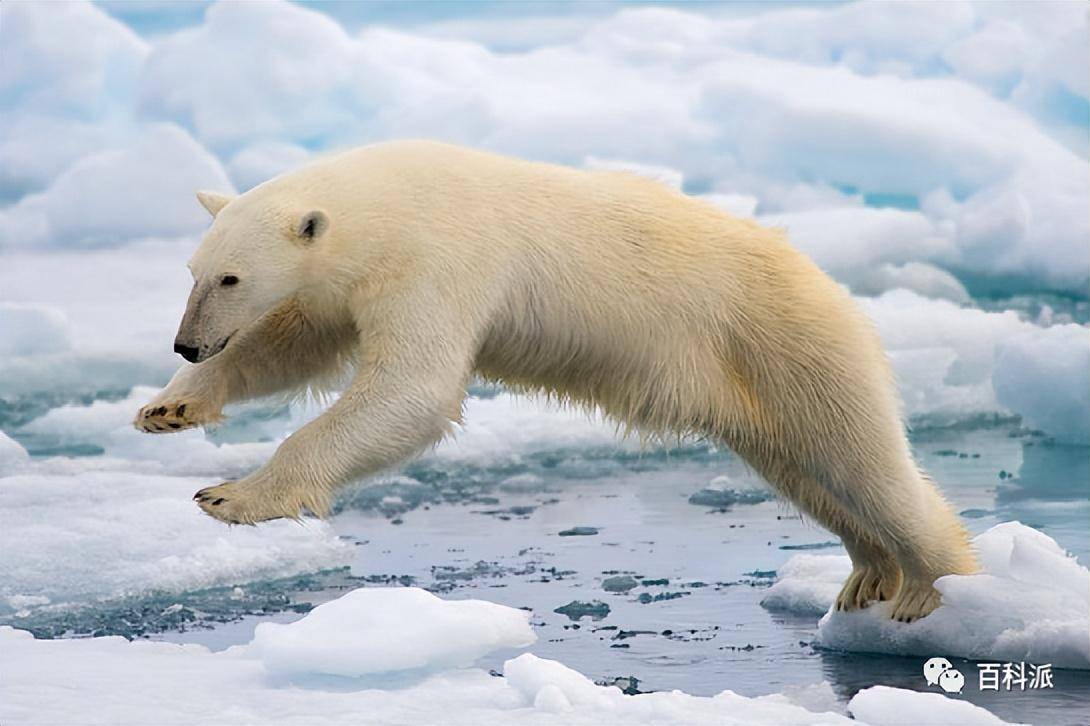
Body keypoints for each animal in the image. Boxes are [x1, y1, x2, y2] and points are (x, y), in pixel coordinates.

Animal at [136, 138, 981, 619]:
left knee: (864, 463)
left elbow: (412, 389)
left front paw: (232, 496)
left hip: (790, 344)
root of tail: (832, 287)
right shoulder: (350, 283)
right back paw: (867, 575)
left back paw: (929, 589)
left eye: (232, 277)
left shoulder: (439, 259)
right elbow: (296, 343)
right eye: (194, 271)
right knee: (809, 473)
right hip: (756, 388)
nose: (186, 344)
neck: (387, 202)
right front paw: (169, 409)